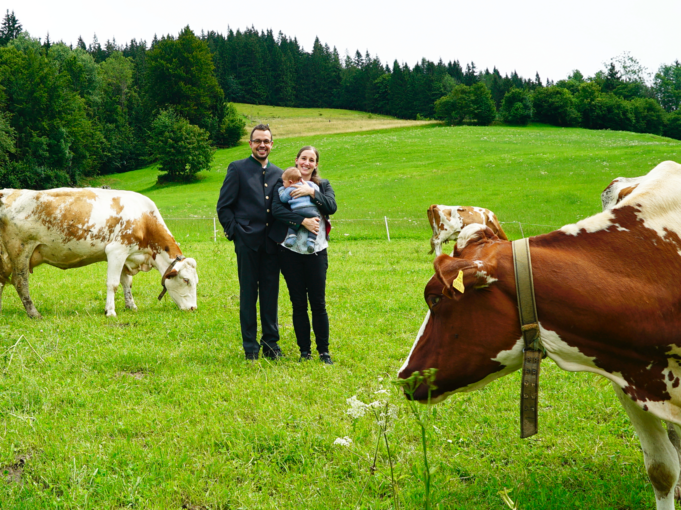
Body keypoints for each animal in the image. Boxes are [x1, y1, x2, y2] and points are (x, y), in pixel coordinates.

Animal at [0, 187, 199, 318]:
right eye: (186, 280)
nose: (193, 308)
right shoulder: (117, 250)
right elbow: (113, 284)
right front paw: (110, 311)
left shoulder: (127, 255)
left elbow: (127, 282)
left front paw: (131, 306)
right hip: (21, 249)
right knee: (20, 282)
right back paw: (34, 313)